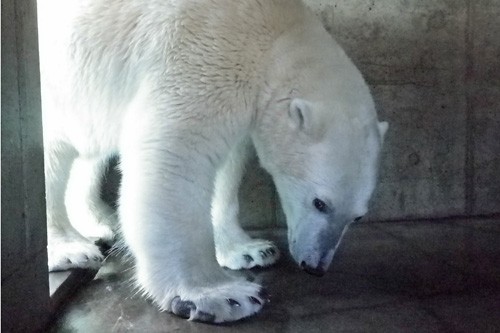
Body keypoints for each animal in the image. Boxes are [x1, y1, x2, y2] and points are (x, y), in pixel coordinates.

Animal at [37, 0, 388, 322]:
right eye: (320, 203)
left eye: (357, 217)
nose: (315, 267)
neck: (277, 32)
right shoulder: (203, 55)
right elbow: (175, 154)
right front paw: (220, 296)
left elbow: (227, 166)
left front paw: (251, 250)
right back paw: (69, 249)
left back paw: (102, 220)